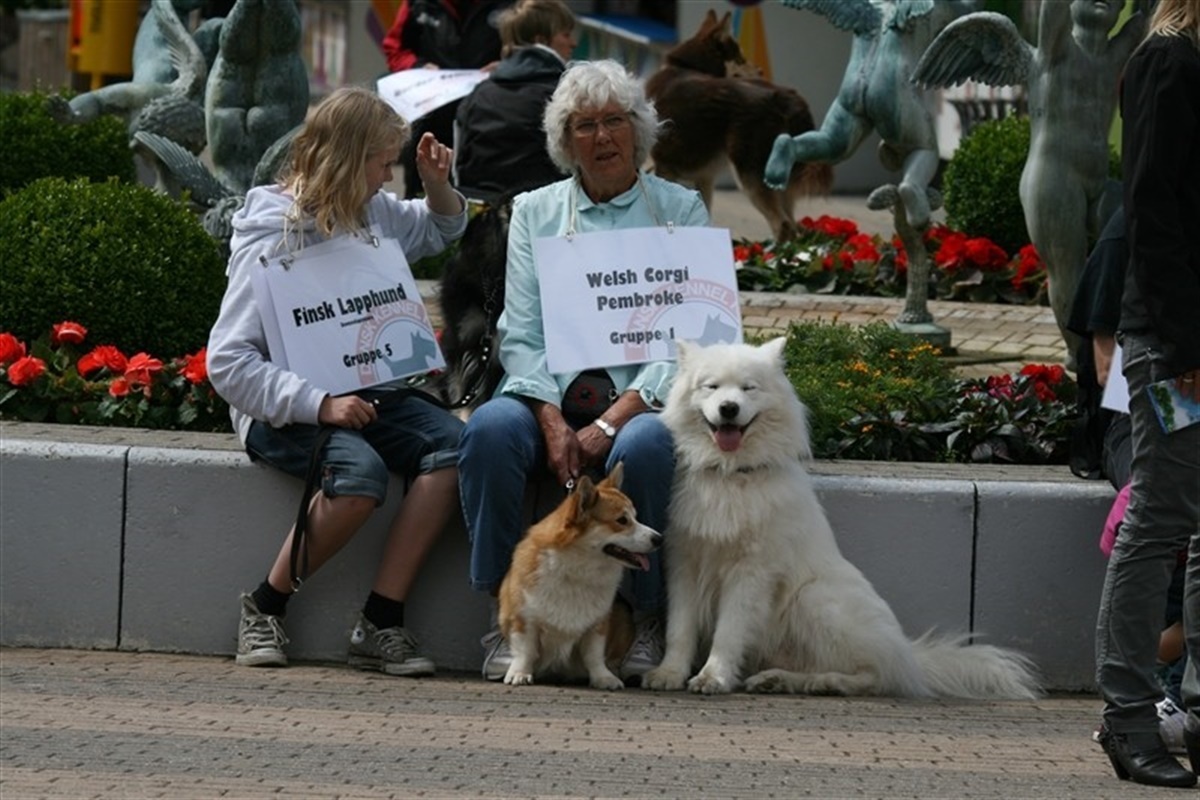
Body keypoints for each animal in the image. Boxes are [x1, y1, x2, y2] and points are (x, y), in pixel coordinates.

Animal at [496, 465, 667, 690]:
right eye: (622, 520)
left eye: (636, 517)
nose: (660, 539)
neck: (579, 568)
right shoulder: (524, 619)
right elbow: (526, 651)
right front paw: (520, 673)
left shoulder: (597, 625)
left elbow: (594, 656)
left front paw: (604, 678)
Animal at [648, 335, 1041, 695]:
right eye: (711, 387)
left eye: (749, 388)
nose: (729, 408)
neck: (730, 475)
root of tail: (909, 655)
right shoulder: (684, 563)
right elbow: (679, 628)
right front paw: (669, 673)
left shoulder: (750, 572)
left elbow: (729, 632)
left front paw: (713, 677)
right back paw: (777, 678)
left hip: (814, 599)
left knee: (872, 676)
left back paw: (818, 683)